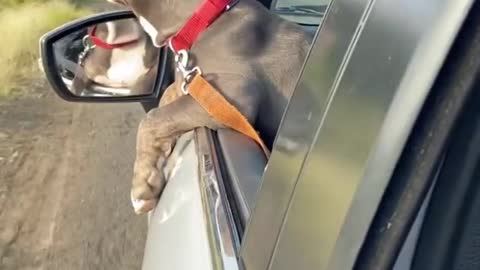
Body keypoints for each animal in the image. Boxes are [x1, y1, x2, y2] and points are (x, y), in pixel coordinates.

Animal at [106, 0, 310, 214]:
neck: (203, 18)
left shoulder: (233, 93)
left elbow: (152, 117)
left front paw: (141, 186)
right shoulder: (190, 81)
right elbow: (166, 98)